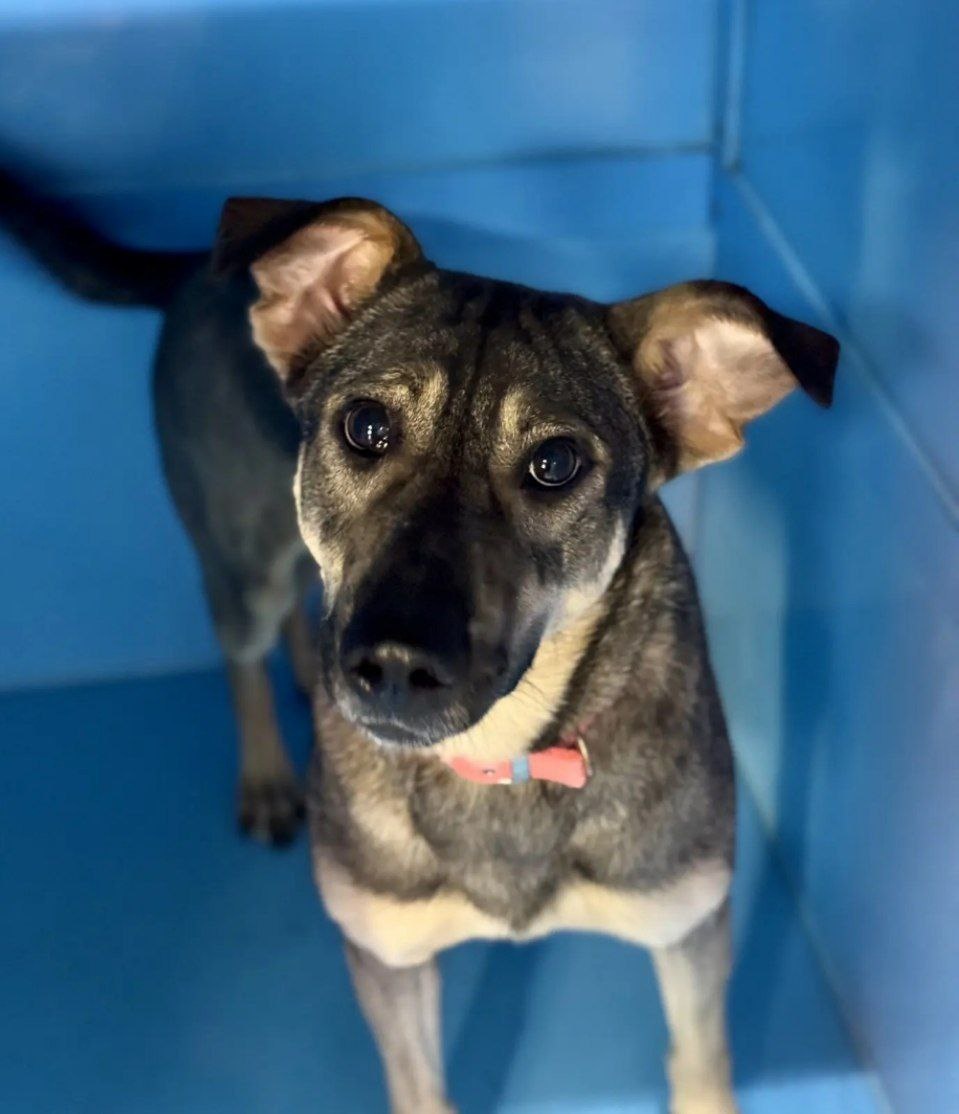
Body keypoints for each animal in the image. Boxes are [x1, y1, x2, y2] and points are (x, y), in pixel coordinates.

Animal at [209, 195, 839, 1113]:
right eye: (365, 426)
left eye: (554, 463)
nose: (392, 665)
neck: (501, 757)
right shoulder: (386, 955)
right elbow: (420, 1088)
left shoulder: (688, 926)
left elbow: (701, 1064)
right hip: (243, 563)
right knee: (244, 648)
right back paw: (265, 770)